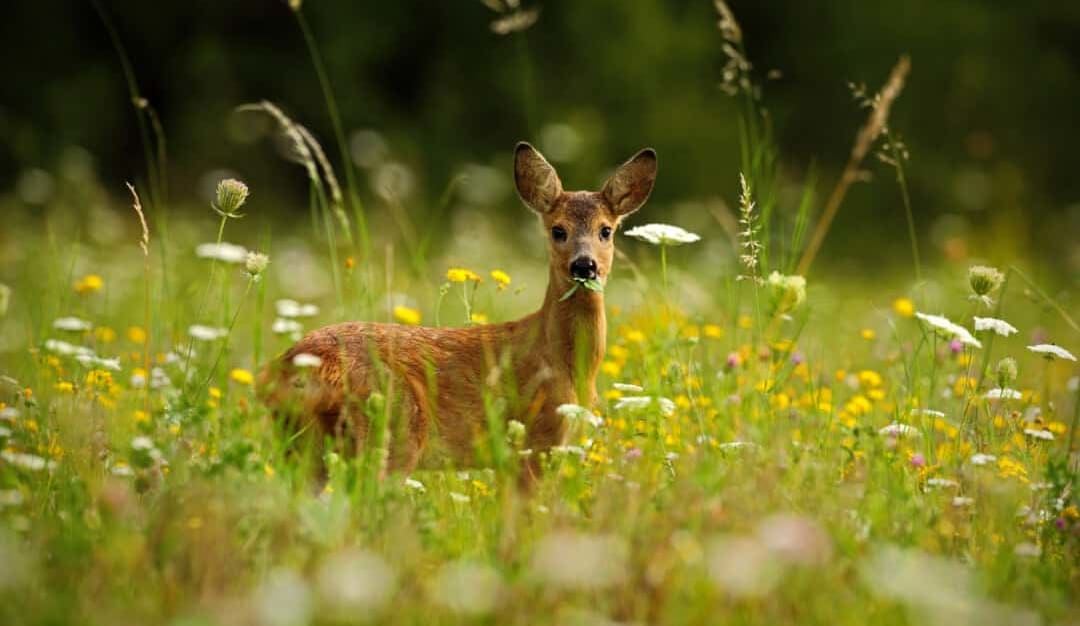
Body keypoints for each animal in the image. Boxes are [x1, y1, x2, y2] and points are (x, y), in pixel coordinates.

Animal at [259, 142, 657, 484]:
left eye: (606, 230)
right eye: (558, 230)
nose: (584, 266)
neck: (566, 364)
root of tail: (290, 368)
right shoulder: (536, 439)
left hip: (304, 443)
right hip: (390, 430)